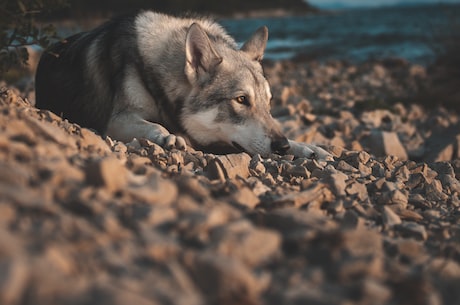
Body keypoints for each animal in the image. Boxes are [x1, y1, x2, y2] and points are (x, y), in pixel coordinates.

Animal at [36, 11, 330, 159]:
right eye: (241, 100)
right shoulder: (116, 119)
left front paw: (307, 147)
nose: (282, 148)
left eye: (269, 103)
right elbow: (153, 126)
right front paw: (166, 135)